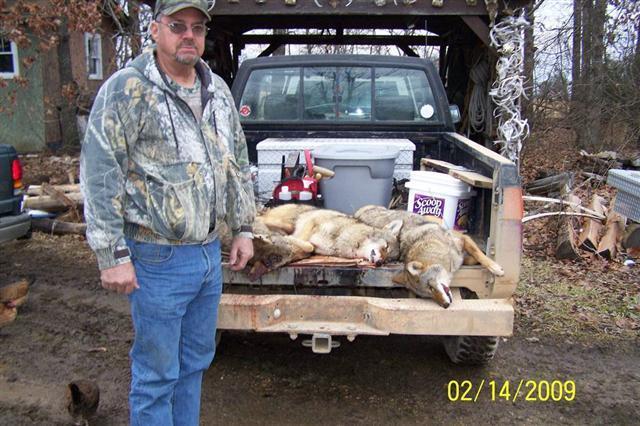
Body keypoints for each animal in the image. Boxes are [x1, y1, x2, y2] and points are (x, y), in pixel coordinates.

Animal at [354, 205, 504, 308]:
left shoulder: (463, 239)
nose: (445, 306)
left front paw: (495, 267)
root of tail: (359, 212)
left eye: (431, 288)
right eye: (428, 294)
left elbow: (477, 254)